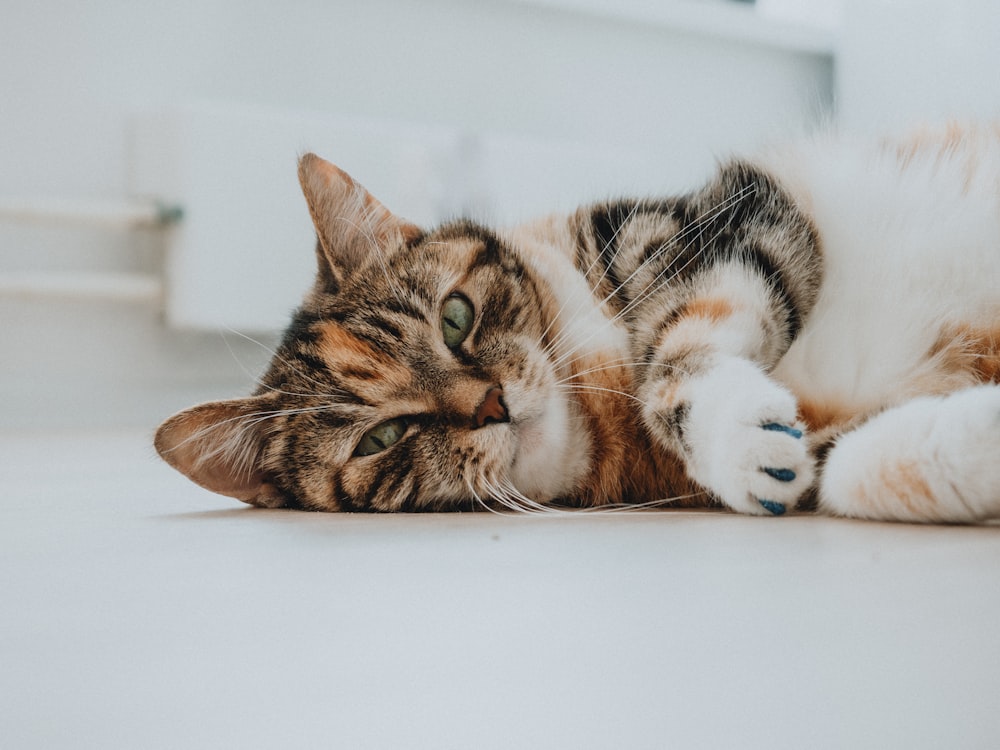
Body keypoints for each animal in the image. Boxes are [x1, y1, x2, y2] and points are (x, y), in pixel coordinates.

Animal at [152, 123, 1000, 524]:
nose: (491, 405)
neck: (599, 390)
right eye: (380, 439)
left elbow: (677, 355)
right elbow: (848, 465)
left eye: (455, 317)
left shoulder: (725, 221)